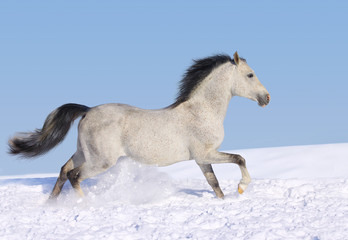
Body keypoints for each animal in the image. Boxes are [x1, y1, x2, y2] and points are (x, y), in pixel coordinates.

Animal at [7, 52, 270, 199]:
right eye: (250, 75)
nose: (266, 98)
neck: (202, 111)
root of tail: (88, 110)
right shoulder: (206, 153)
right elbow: (240, 159)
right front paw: (241, 188)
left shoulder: (201, 159)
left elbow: (214, 185)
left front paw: (226, 200)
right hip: (101, 161)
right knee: (74, 176)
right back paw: (84, 204)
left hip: (84, 153)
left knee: (63, 170)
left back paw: (52, 205)